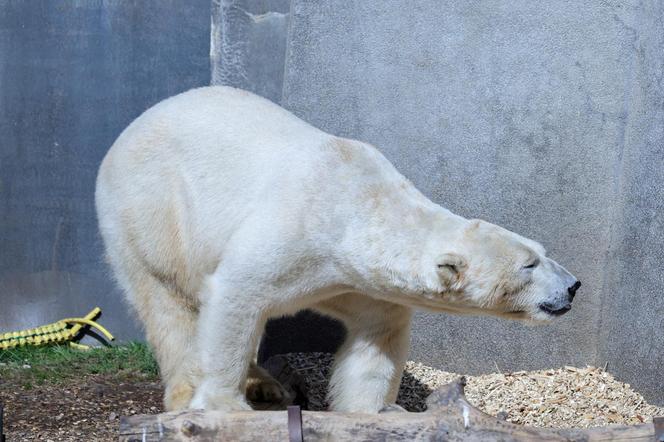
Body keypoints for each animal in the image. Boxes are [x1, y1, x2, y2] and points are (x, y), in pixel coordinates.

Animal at [96, 87, 580, 414]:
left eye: (541, 251)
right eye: (529, 264)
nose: (574, 285)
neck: (355, 207)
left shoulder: (350, 279)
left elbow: (378, 333)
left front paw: (375, 411)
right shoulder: (292, 233)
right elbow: (236, 296)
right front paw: (223, 406)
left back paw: (266, 383)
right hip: (150, 211)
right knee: (167, 301)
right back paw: (188, 391)